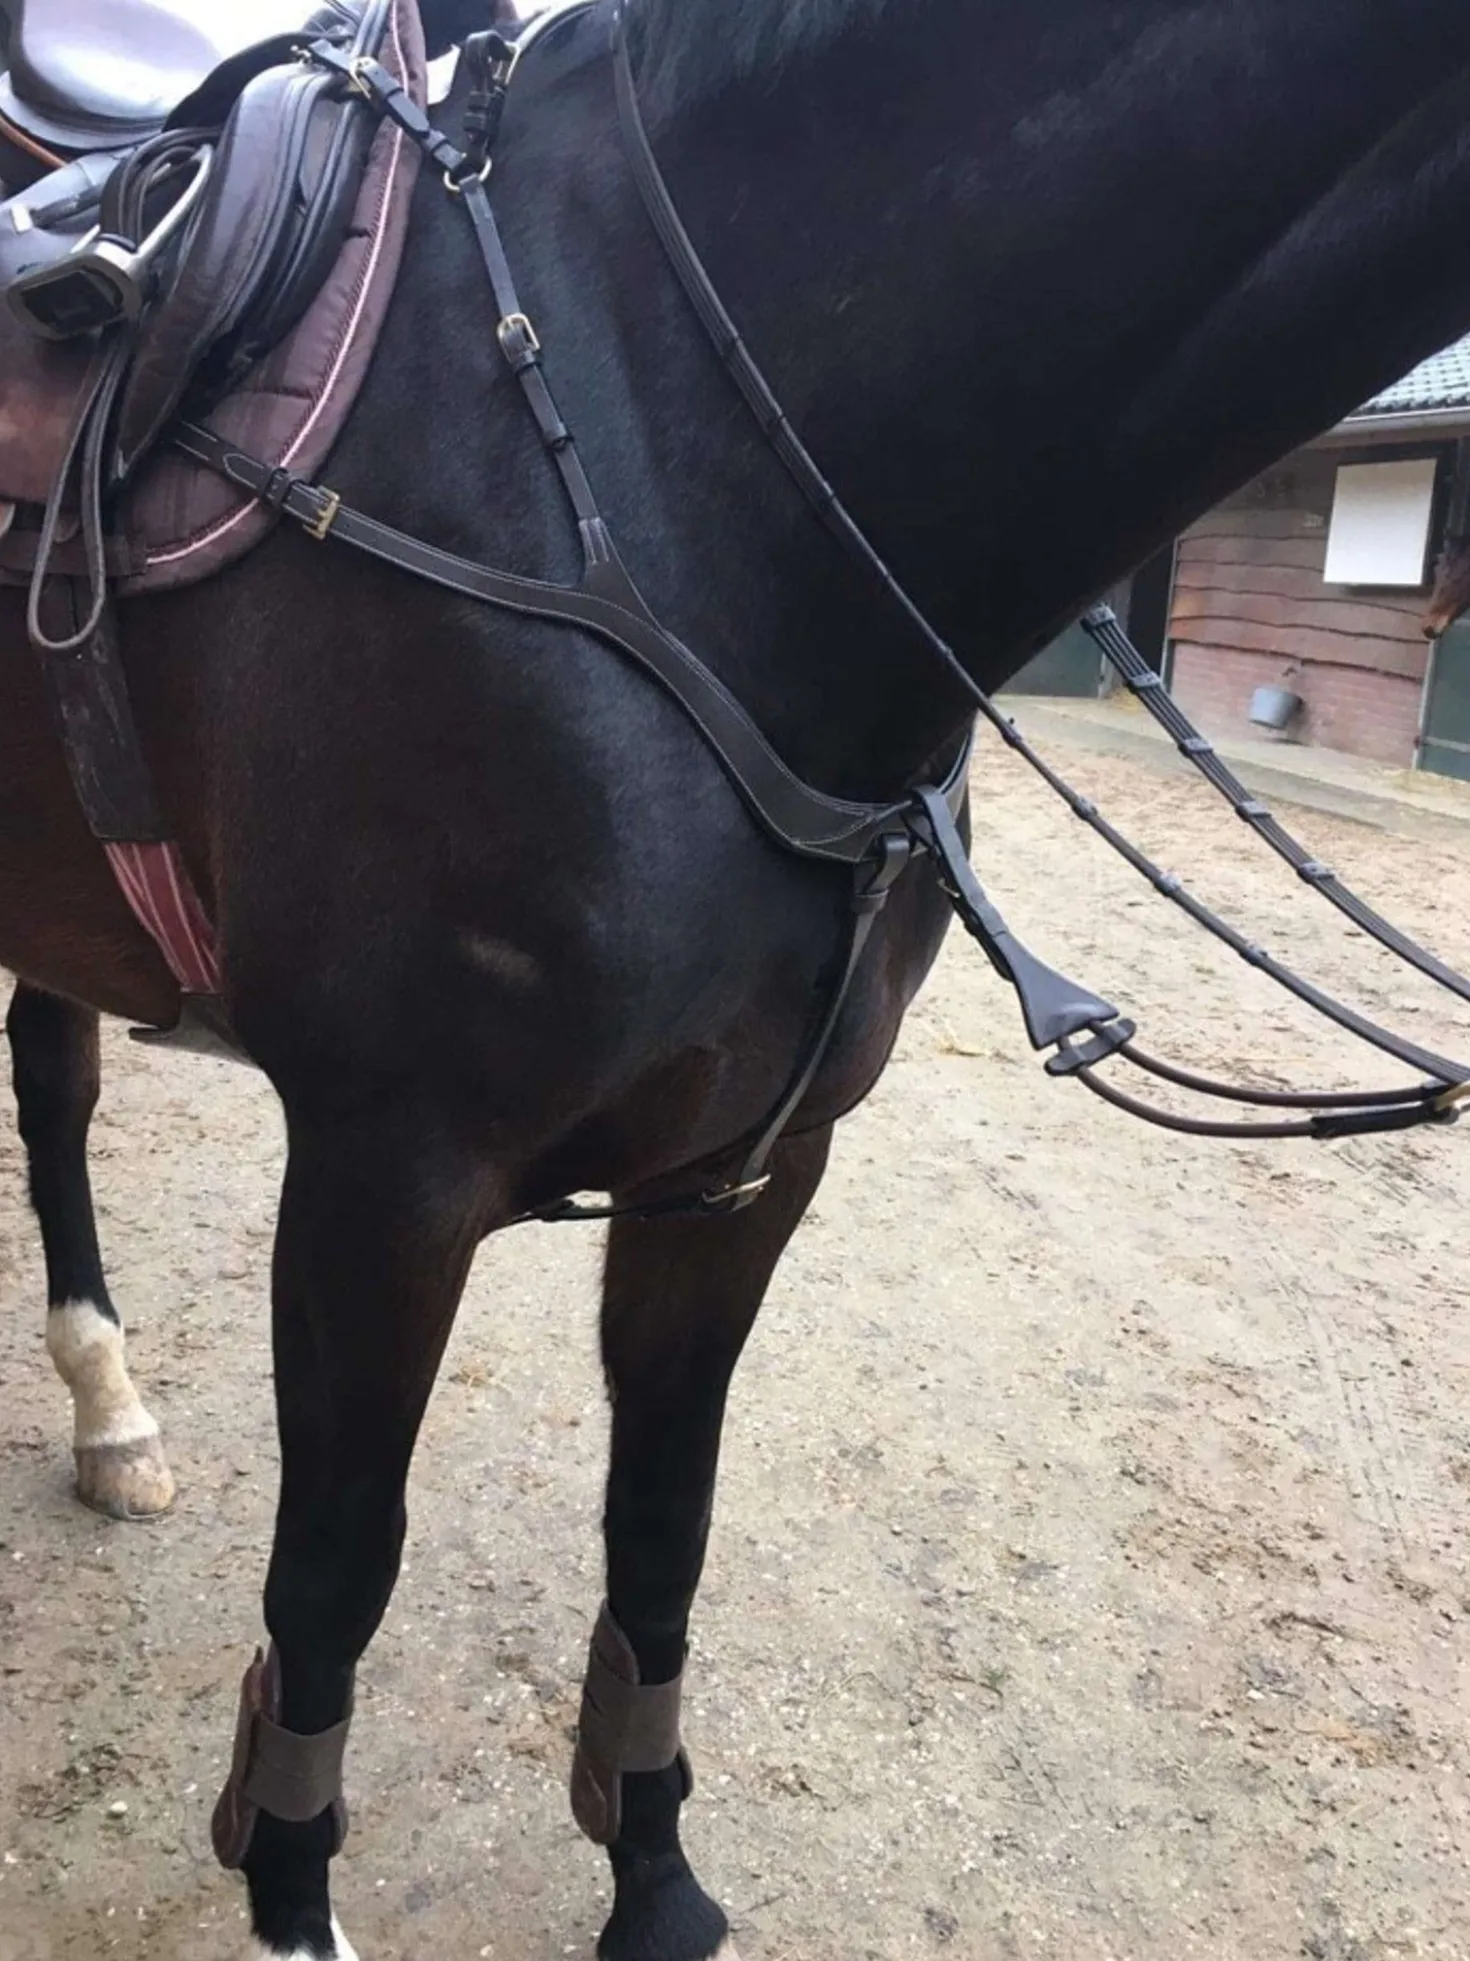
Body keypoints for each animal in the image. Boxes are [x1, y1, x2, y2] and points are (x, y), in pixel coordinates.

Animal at [6, 1, 1470, 1956]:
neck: (656, 449)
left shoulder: (743, 1176)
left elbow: (662, 1536)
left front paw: (651, 1876)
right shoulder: (385, 1173)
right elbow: (331, 1572)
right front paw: (296, 1887)